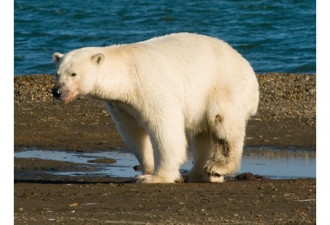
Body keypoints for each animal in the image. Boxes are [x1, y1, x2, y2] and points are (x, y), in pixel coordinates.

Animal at [51, 33, 260, 183]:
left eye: (73, 73)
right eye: (57, 73)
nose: (57, 92)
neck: (127, 74)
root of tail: (248, 67)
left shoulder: (150, 86)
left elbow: (164, 126)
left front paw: (157, 177)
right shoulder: (121, 104)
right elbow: (133, 133)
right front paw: (145, 171)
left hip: (223, 88)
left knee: (223, 125)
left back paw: (216, 167)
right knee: (203, 135)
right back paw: (197, 174)